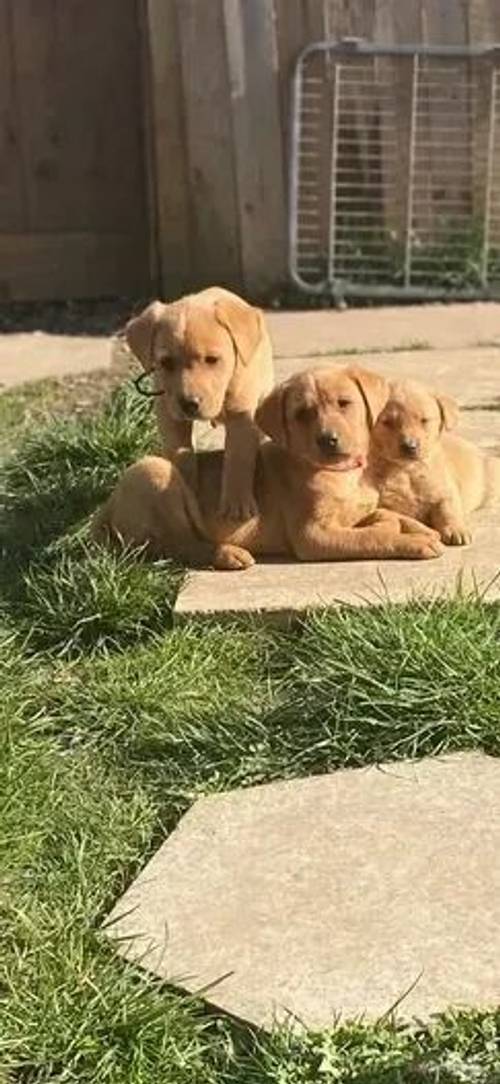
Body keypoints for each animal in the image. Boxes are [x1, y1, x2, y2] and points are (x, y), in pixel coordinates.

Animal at [92, 366, 440, 572]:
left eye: (344, 403)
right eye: (302, 414)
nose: (328, 440)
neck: (343, 474)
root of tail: (107, 506)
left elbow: (389, 514)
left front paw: (426, 530)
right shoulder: (312, 536)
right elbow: (370, 537)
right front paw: (413, 542)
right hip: (153, 471)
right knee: (175, 544)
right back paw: (228, 554)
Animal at [124, 286, 273, 522]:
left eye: (212, 359)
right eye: (166, 363)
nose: (189, 403)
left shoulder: (242, 416)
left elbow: (238, 459)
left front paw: (236, 504)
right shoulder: (170, 415)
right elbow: (180, 455)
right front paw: (182, 489)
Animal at [370, 381, 498, 546]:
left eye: (424, 420)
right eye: (387, 422)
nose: (410, 446)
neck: (408, 470)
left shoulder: (445, 489)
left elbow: (448, 509)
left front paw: (456, 530)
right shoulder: (383, 502)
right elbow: (398, 516)